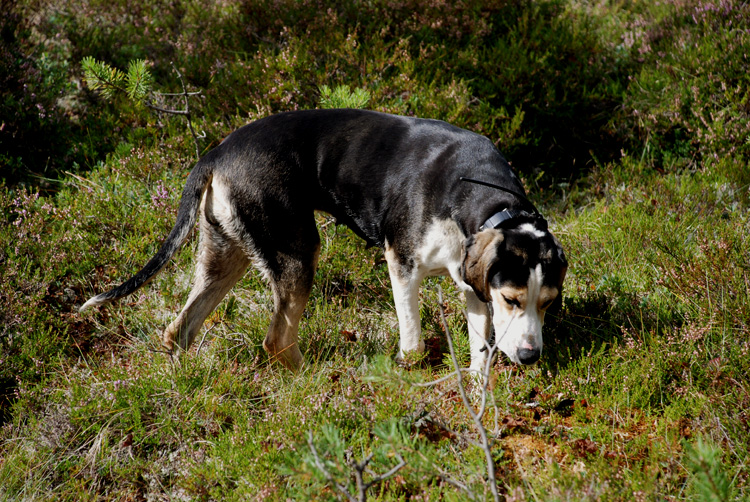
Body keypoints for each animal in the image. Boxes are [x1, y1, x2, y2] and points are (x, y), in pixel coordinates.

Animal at [79, 109, 568, 372]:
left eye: (548, 303)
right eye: (511, 299)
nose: (531, 357)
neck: (480, 192)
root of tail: (217, 152)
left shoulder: (471, 283)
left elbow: (479, 347)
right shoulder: (402, 266)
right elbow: (412, 343)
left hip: (227, 254)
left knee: (179, 329)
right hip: (297, 253)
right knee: (276, 340)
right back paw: (312, 379)